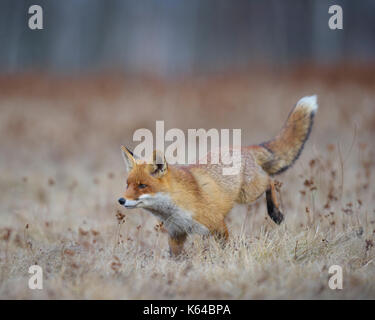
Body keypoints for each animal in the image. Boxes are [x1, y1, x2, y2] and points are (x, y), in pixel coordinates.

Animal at [119, 95, 318, 255]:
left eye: (142, 185)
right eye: (127, 185)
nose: (121, 200)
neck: (174, 208)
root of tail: (244, 148)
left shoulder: (217, 225)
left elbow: (225, 247)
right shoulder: (176, 234)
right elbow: (176, 258)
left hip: (249, 193)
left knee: (270, 181)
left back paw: (275, 212)